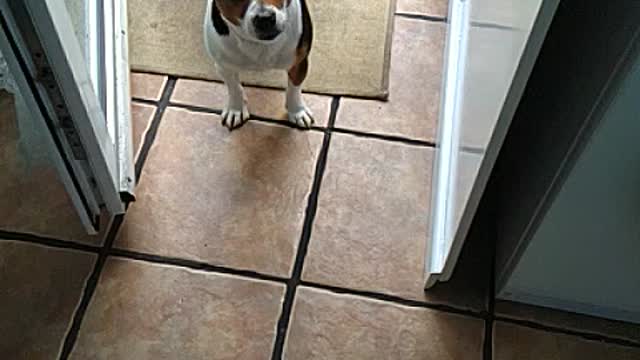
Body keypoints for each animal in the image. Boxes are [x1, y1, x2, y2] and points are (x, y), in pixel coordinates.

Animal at [204, 0, 314, 129]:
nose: (264, 18)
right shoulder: (224, 66)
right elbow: (234, 88)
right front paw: (236, 109)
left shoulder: (299, 62)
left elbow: (294, 89)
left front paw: (298, 111)